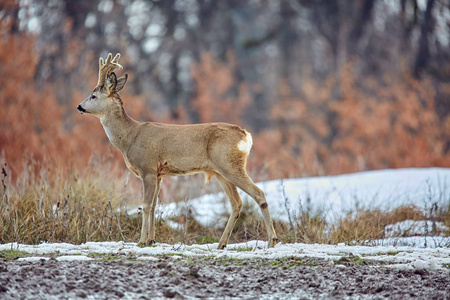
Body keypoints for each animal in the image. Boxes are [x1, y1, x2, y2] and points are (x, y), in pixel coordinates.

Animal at [77, 53, 278, 248]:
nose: (79, 106)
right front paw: (151, 240)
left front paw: (141, 241)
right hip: (220, 171)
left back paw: (272, 240)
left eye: (93, 96)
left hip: (230, 165)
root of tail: (246, 135)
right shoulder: (158, 174)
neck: (129, 137)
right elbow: (155, 205)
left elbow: (146, 205)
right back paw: (221, 244)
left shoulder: (147, 169)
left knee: (258, 194)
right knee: (236, 203)